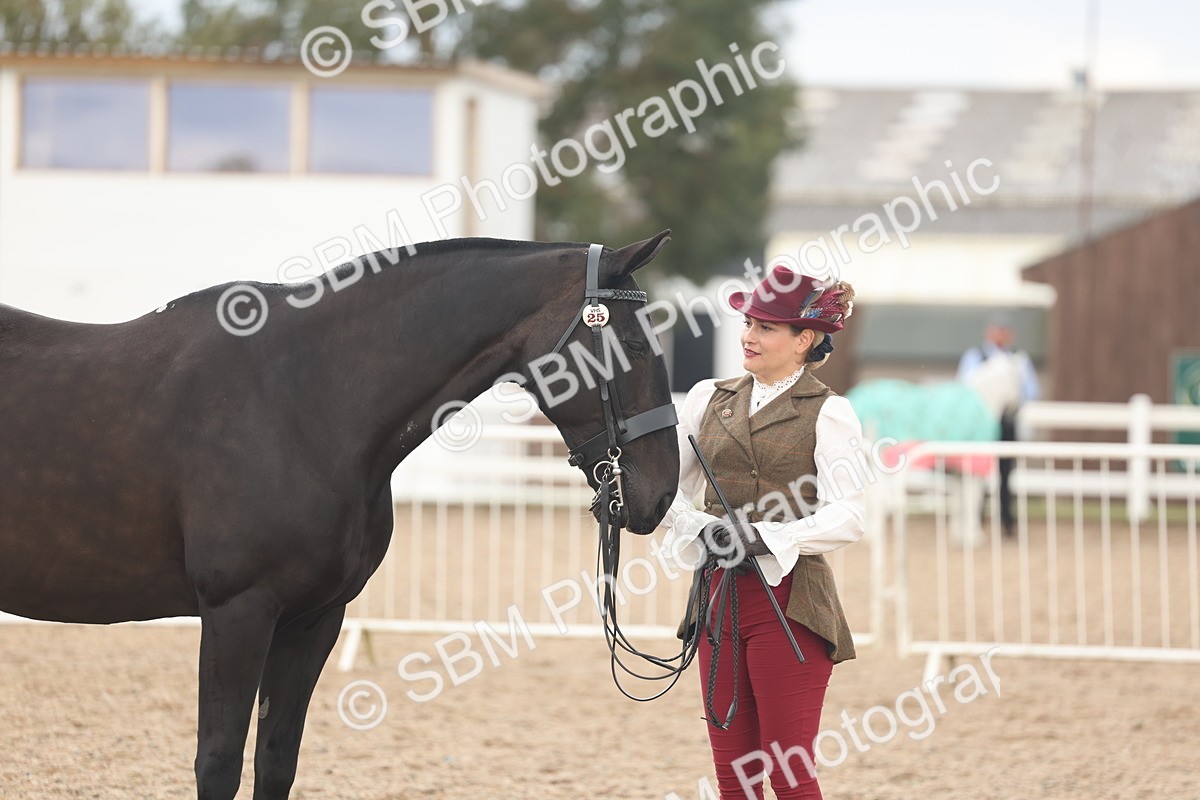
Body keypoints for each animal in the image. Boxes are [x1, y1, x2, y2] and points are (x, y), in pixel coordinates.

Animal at [0, 231, 680, 799]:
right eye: (633, 344)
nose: (661, 495)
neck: (304, 402)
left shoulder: (314, 619)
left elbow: (276, 758)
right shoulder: (237, 613)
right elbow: (217, 763)